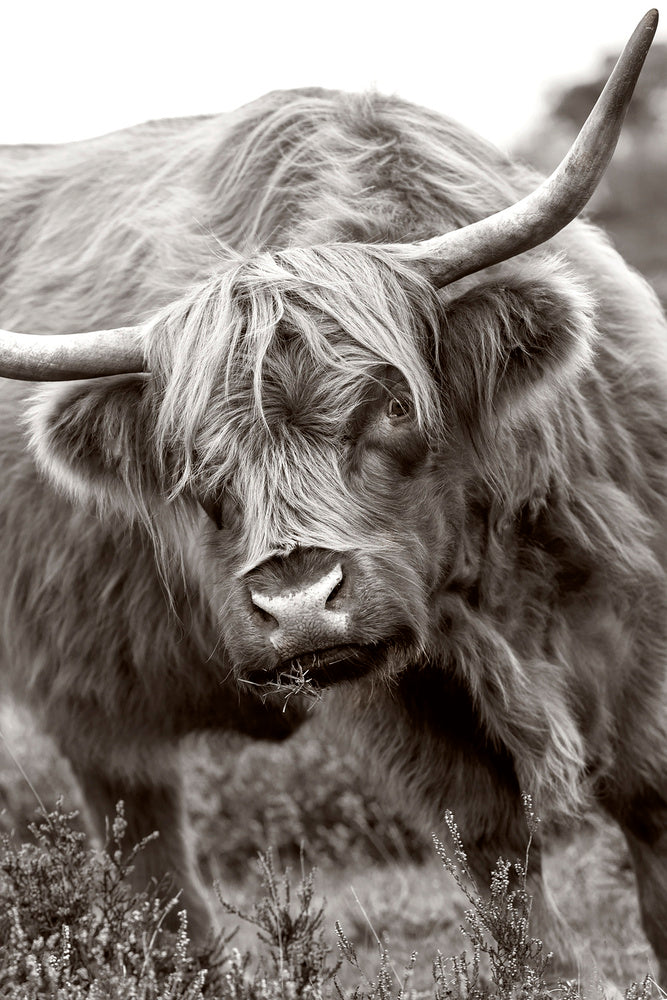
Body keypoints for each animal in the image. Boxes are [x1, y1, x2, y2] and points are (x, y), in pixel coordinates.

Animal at [0, 8, 665, 986]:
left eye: (392, 405)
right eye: (192, 458)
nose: (298, 604)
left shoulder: (635, 607)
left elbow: (649, 801)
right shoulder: (406, 700)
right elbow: (495, 861)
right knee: (149, 852)